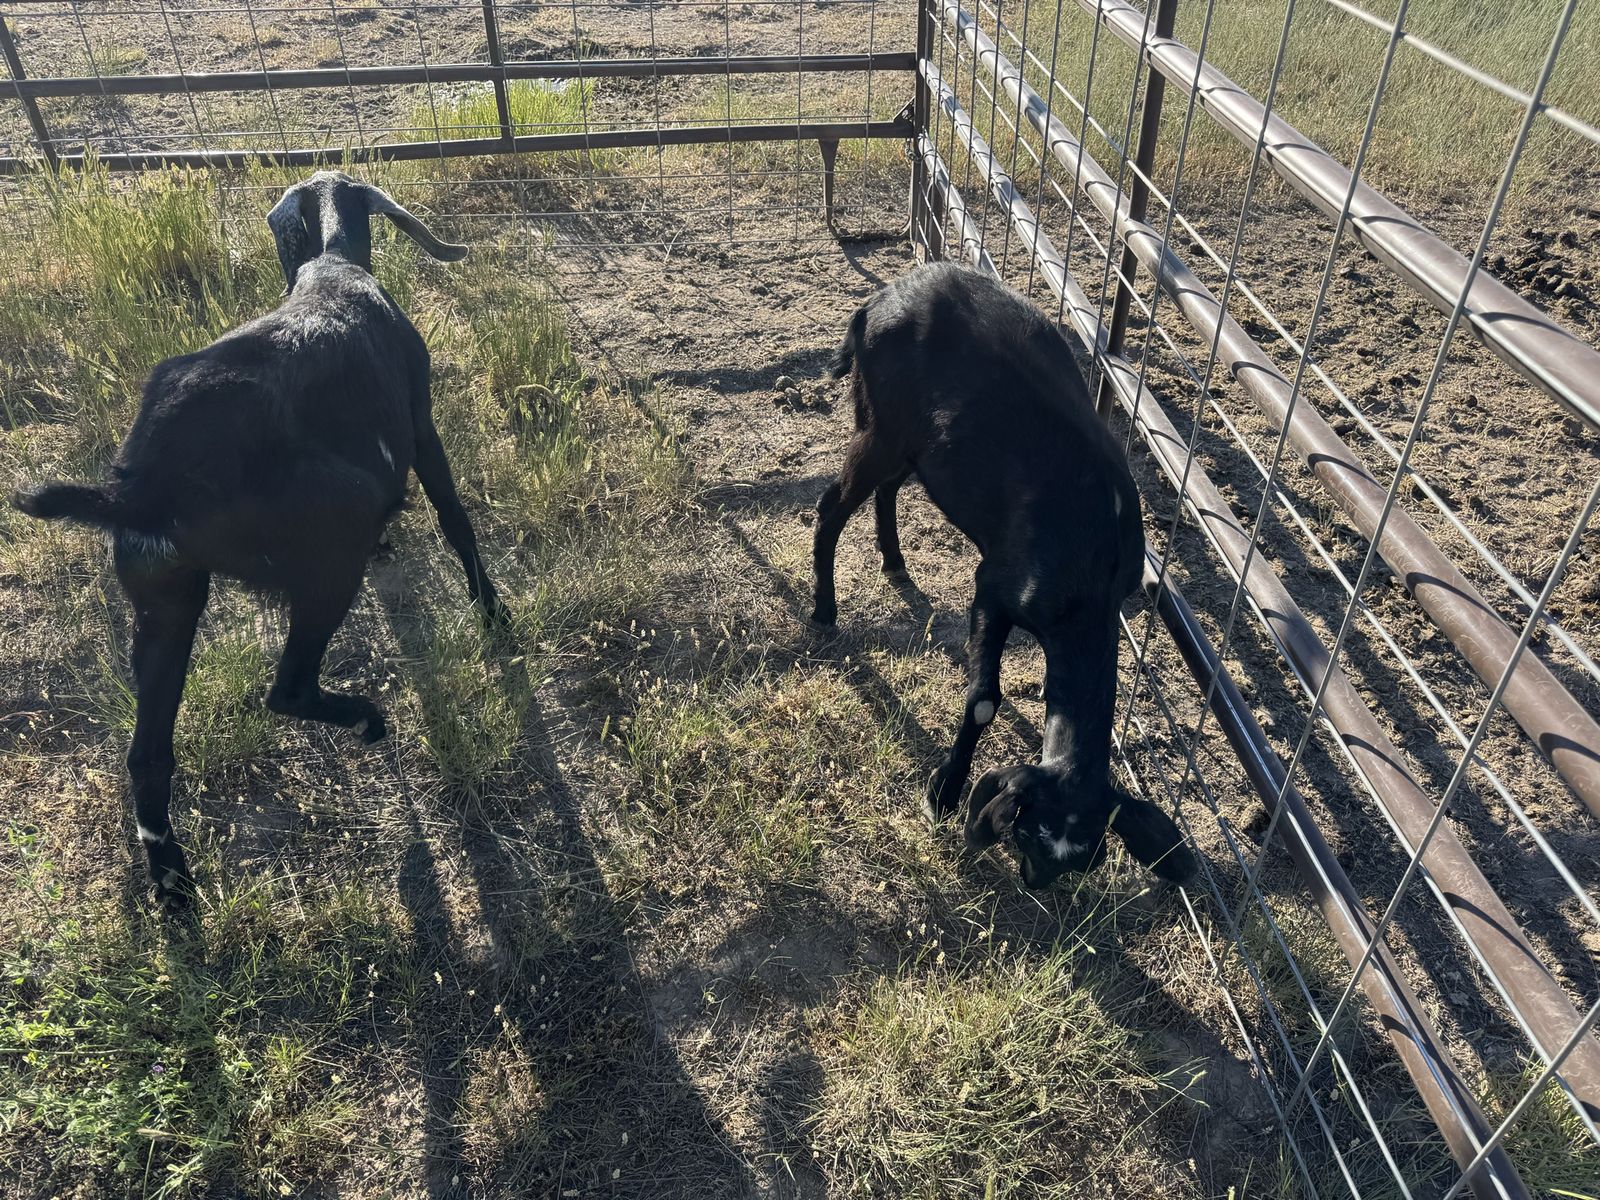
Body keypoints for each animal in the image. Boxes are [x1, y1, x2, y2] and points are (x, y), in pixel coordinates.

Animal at [12, 170, 506, 904]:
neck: (331, 269)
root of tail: (144, 484)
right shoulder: (421, 423)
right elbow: (454, 517)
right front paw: (493, 611)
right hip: (331, 549)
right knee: (288, 688)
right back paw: (367, 718)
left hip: (165, 601)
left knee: (147, 754)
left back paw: (171, 879)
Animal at [811, 262, 1195, 890]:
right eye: (1027, 831)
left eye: (1087, 854)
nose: (1034, 882)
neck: (1092, 577)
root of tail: (877, 302)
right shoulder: (993, 586)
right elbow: (984, 700)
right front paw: (942, 794)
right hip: (880, 426)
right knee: (830, 506)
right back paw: (823, 610)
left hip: (920, 447)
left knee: (888, 489)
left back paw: (894, 562)